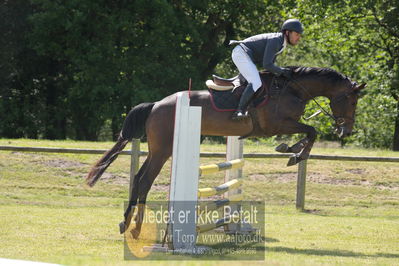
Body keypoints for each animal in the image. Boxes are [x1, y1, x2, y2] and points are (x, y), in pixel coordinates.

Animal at [86, 66, 368, 239]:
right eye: (352, 100)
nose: (346, 131)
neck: (293, 89)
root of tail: (156, 104)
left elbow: (310, 132)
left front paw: (292, 149)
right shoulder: (278, 124)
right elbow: (311, 131)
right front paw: (294, 153)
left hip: (158, 150)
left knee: (139, 179)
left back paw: (127, 224)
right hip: (163, 150)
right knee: (144, 180)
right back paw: (134, 227)